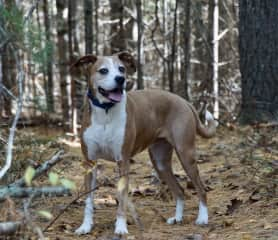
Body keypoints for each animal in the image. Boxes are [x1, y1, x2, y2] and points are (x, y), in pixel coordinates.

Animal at [72, 52, 217, 236]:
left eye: (122, 69)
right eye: (103, 70)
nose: (120, 79)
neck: (105, 111)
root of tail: (183, 101)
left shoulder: (123, 161)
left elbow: (121, 198)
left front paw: (120, 227)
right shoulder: (90, 162)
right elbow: (88, 200)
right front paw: (85, 226)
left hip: (186, 154)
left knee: (201, 188)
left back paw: (203, 218)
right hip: (160, 163)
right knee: (179, 191)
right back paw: (177, 218)